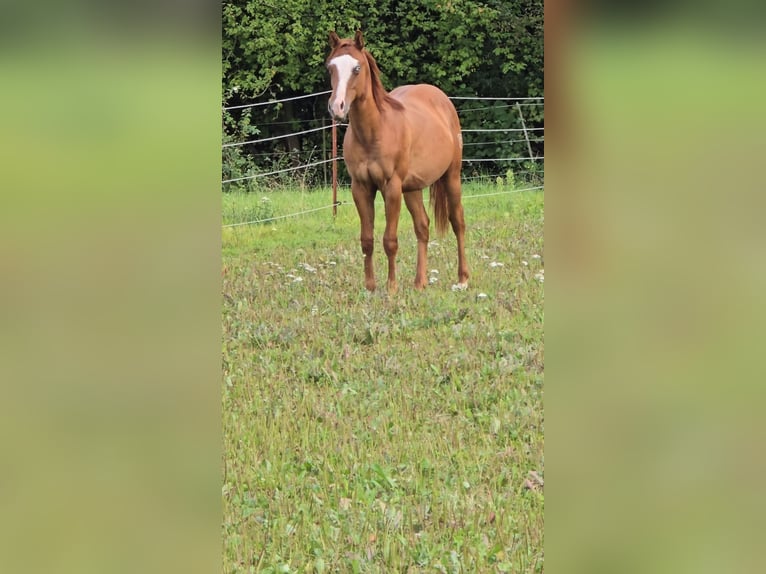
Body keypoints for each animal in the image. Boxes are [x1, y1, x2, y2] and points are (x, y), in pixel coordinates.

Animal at [326, 30, 469, 294]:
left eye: (357, 68)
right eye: (330, 67)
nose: (337, 107)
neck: (374, 131)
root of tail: (442, 99)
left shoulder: (391, 187)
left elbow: (389, 240)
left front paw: (391, 287)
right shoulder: (361, 188)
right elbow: (367, 240)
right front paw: (370, 287)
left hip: (451, 177)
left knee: (458, 222)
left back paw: (463, 279)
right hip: (412, 188)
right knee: (422, 226)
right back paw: (420, 282)